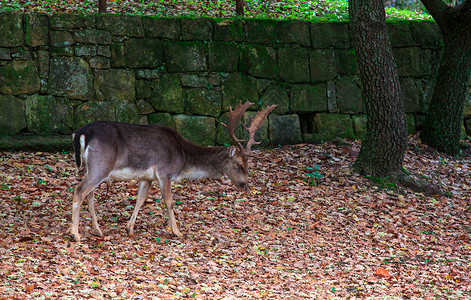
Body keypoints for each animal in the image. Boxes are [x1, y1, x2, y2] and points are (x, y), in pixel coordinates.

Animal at [70, 102, 276, 243]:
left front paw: (129, 228)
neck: (183, 158)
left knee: (89, 195)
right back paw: (75, 235)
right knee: (79, 191)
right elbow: (169, 201)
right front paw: (177, 231)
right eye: (239, 164)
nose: (245, 186)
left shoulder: (146, 177)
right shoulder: (164, 172)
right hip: (101, 165)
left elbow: (140, 200)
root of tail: (82, 132)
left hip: (92, 167)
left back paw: (97, 230)